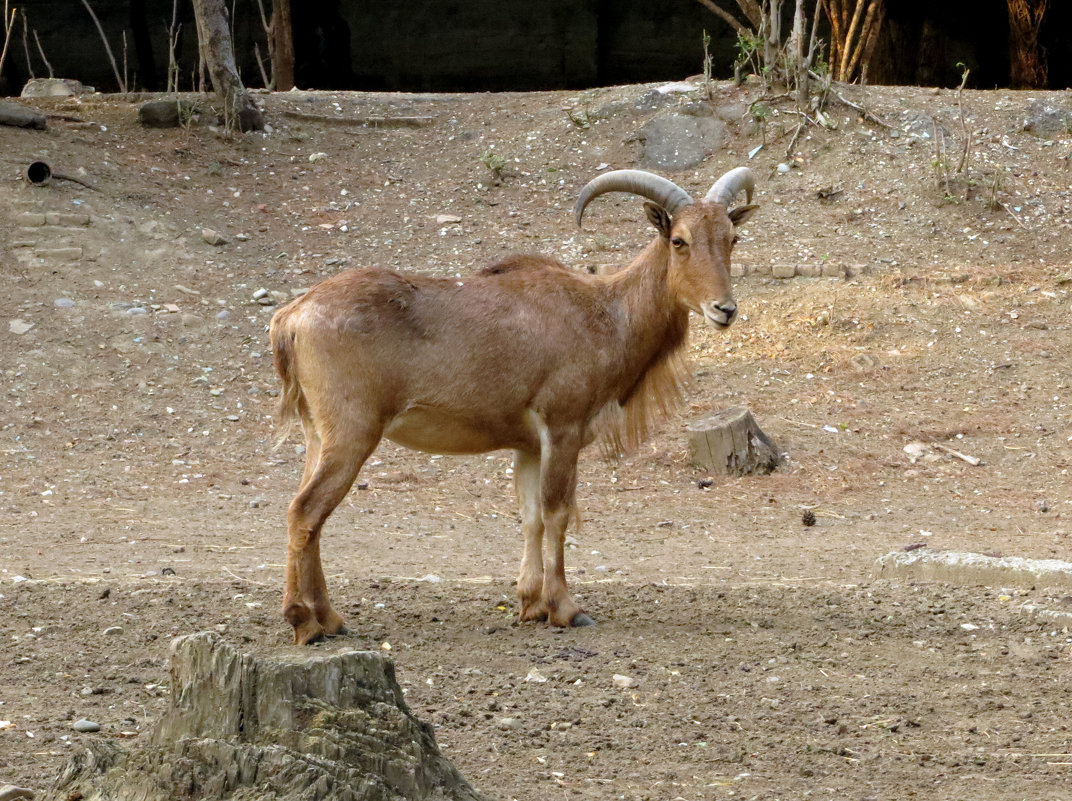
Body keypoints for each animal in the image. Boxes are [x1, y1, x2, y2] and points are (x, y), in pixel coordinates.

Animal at [268, 169, 758, 643]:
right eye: (679, 240)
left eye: (731, 237)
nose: (725, 309)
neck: (605, 313)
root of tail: (291, 317)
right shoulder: (562, 428)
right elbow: (558, 512)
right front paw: (566, 609)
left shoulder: (528, 446)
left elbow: (531, 516)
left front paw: (530, 604)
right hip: (352, 433)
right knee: (305, 511)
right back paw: (305, 622)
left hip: (318, 433)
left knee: (304, 513)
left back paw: (329, 620)